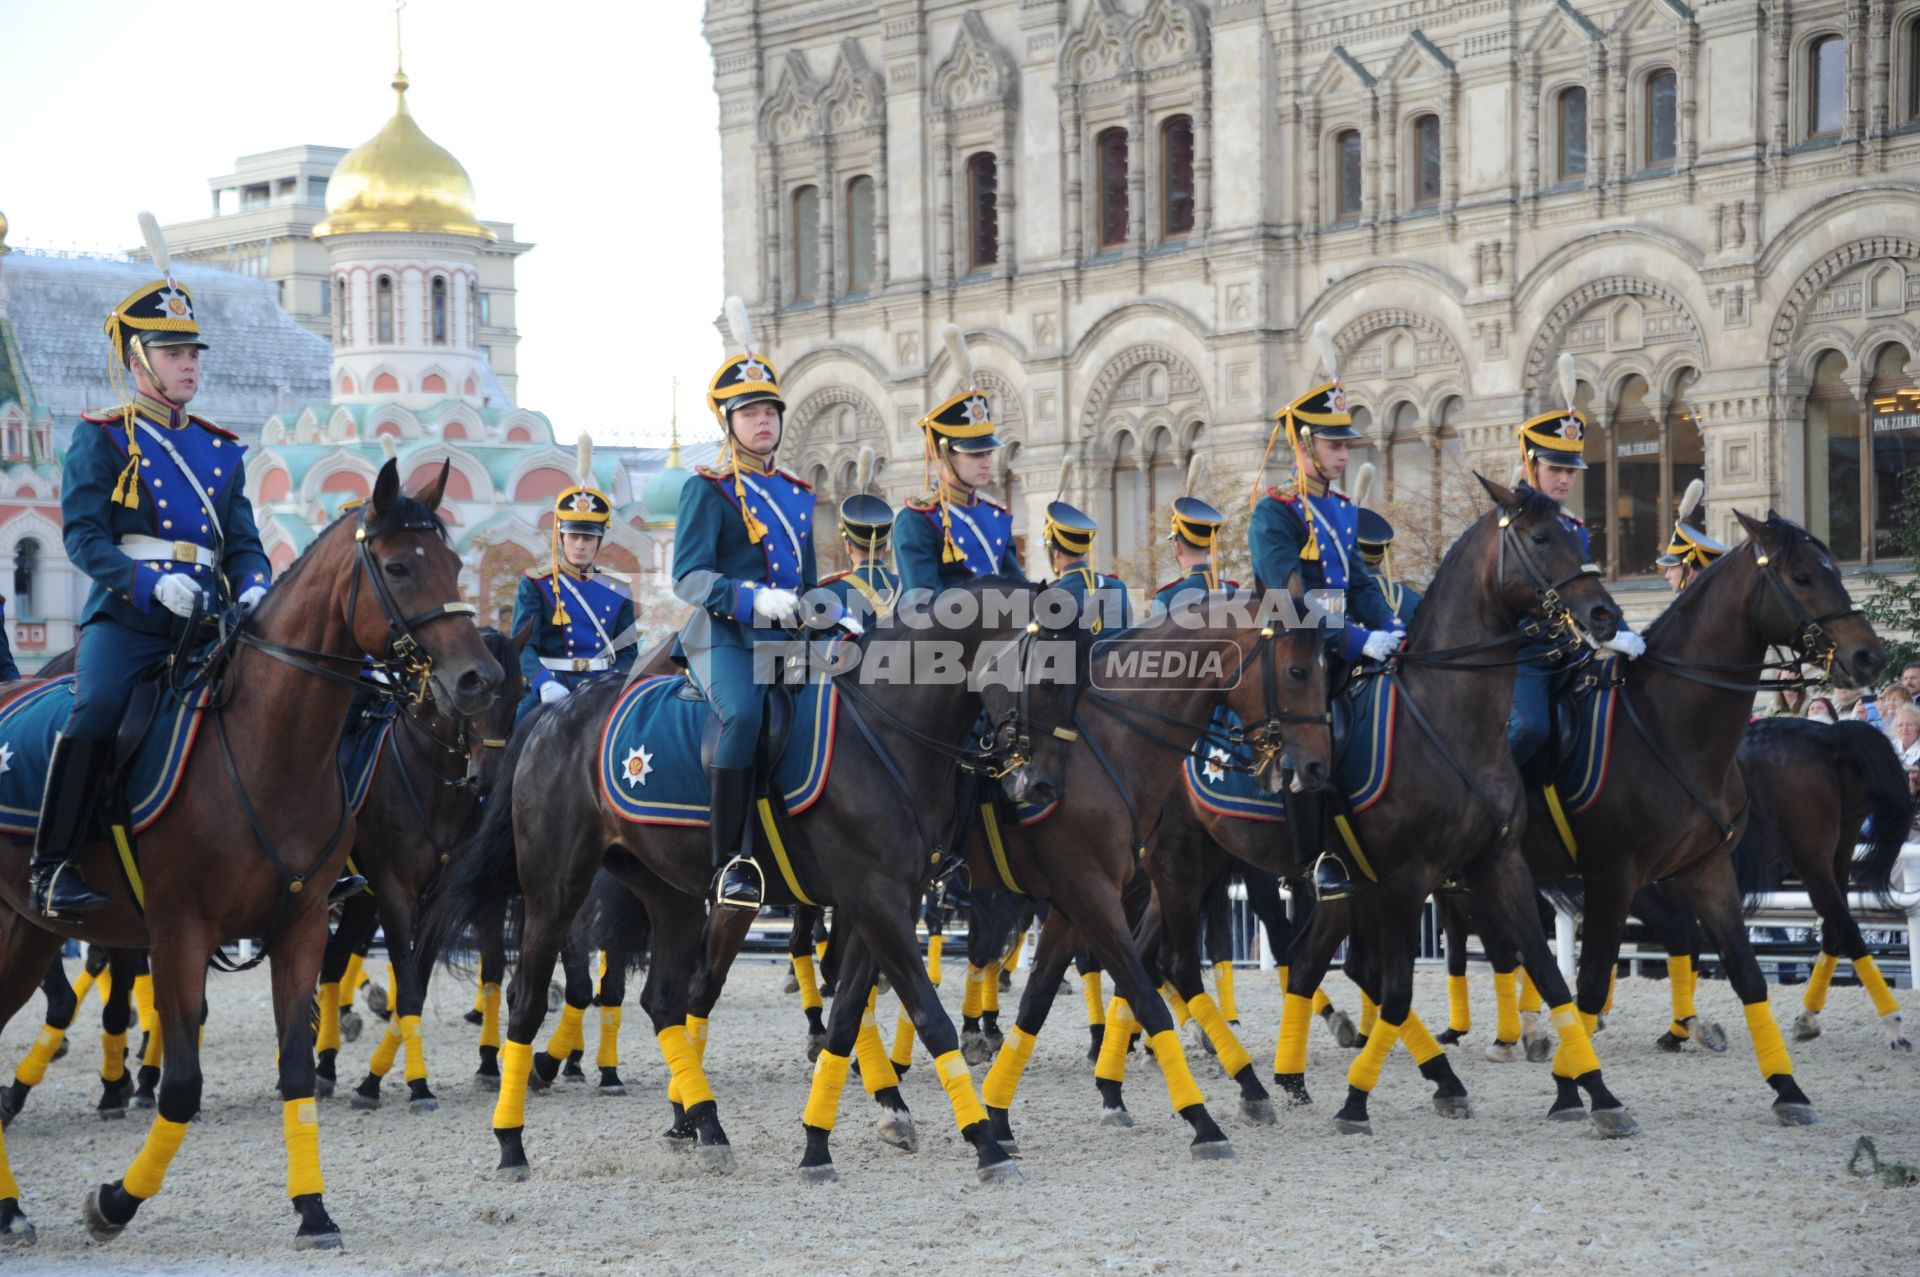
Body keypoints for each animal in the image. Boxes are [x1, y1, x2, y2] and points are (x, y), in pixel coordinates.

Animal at [0, 458, 503, 1244]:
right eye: (397, 565)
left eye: (453, 564)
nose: (478, 680)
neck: (269, 746)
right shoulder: (182, 929)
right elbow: (182, 1082)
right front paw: (115, 1200)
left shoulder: (304, 921)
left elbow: (297, 1061)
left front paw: (313, 1206)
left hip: (27, 930)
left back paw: (12, 1202)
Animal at [418, 576, 1082, 1182]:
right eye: (1049, 677)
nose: (1043, 787)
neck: (885, 731)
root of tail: (554, 712)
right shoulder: (875, 900)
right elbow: (927, 1013)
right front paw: (985, 1143)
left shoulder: (883, 900)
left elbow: (847, 1015)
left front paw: (823, 1140)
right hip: (556, 890)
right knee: (528, 998)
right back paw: (512, 1142)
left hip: (672, 896)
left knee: (665, 1001)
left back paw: (706, 1126)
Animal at [1520, 510, 1881, 1129]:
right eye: (1803, 575)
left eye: (1836, 568)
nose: (1868, 657)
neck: (1669, 726)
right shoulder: (1613, 877)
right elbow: (1587, 982)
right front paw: (1575, 1087)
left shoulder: (1705, 872)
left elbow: (1745, 973)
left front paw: (1787, 1088)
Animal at [1735, 718, 1912, 1044]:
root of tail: (1825, 735)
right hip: (1841, 847)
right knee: (1835, 927)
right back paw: (1807, 1017)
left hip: (1809, 860)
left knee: (1845, 927)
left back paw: (1893, 1024)